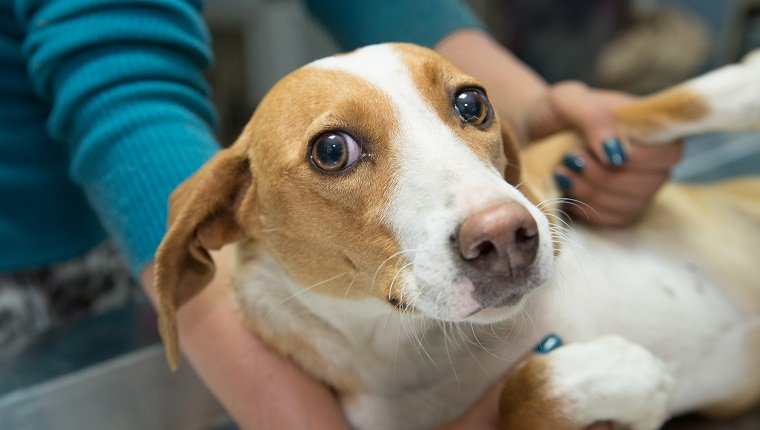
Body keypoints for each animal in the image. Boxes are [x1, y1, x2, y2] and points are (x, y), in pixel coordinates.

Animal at [153, 44, 760, 430]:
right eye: (330, 150)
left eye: (473, 104)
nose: (506, 236)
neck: (435, 338)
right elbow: (520, 395)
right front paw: (612, 376)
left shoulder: (564, 156)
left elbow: (662, 106)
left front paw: (745, 80)